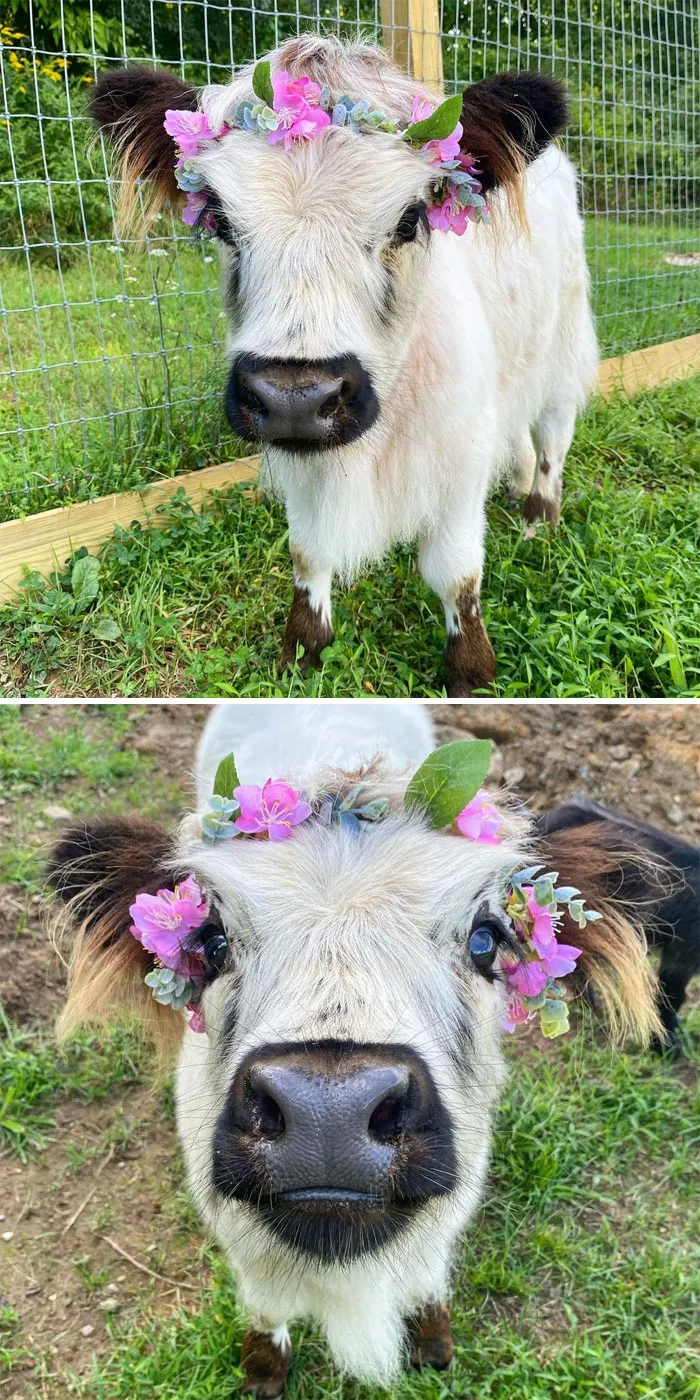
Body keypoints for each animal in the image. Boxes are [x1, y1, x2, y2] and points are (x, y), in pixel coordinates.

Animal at [46, 700, 691, 1397]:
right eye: (211, 941)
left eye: (486, 938)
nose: (328, 1111)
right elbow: (265, 1312)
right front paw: (262, 1374)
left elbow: (428, 1281)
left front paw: (434, 1346)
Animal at [88, 35, 598, 695]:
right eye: (219, 220)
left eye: (411, 218)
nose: (295, 398)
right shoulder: (303, 458)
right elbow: (308, 552)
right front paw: (303, 650)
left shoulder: (456, 459)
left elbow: (455, 572)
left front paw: (471, 672)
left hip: (564, 350)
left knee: (553, 437)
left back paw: (541, 517)